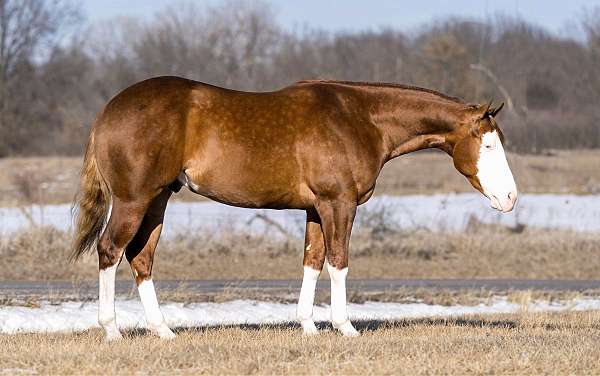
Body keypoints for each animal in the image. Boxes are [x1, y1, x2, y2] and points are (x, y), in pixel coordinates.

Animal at [72, 76, 516, 340]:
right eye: (488, 144)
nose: (510, 198)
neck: (359, 118)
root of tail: (107, 111)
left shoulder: (317, 209)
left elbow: (312, 261)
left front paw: (308, 326)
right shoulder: (339, 204)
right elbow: (338, 262)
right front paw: (345, 327)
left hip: (158, 200)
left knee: (140, 257)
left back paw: (163, 331)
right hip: (134, 200)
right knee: (110, 251)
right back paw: (111, 330)